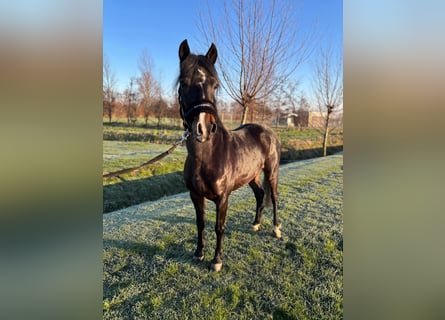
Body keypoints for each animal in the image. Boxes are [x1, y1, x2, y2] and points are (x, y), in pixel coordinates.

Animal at [178, 38, 280, 272]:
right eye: (183, 82)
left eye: (215, 85)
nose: (203, 128)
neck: (207, 157)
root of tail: (267, 131)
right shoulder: (195, 195)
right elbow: (200, 223)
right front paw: (199, 253)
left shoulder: (222, 197)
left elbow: (219, 226)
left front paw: (217, 260)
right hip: (251, 176)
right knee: (260, 194)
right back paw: (256, 224)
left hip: (271, 172)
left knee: (274, 197)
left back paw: (276, 229)